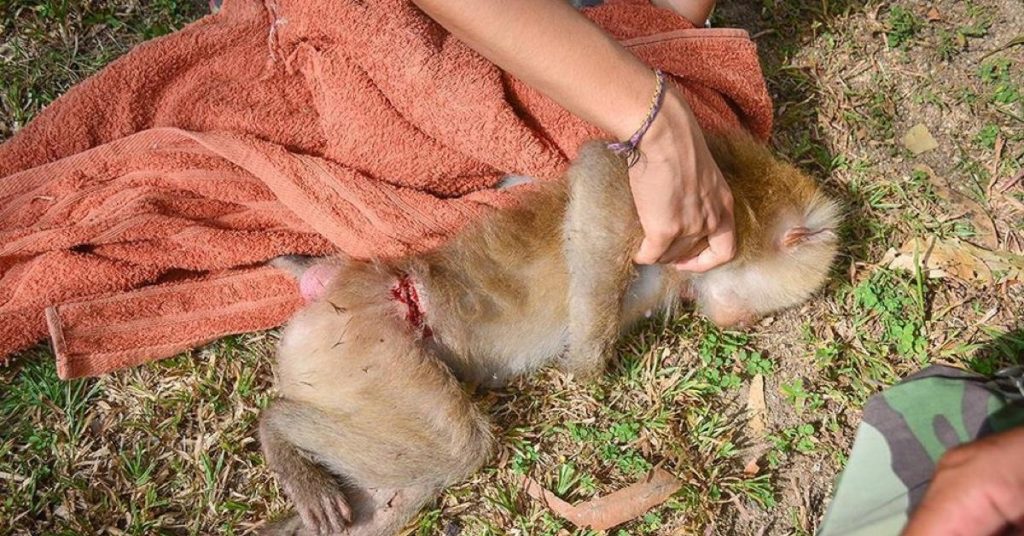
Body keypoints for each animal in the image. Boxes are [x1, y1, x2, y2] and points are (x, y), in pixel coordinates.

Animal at [258, 130, 841, 535]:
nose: (739, 323)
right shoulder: (676, 214)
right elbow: (602, 176)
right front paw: (586, 369)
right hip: (367, 341)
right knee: (460, 447)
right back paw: (278, 427)